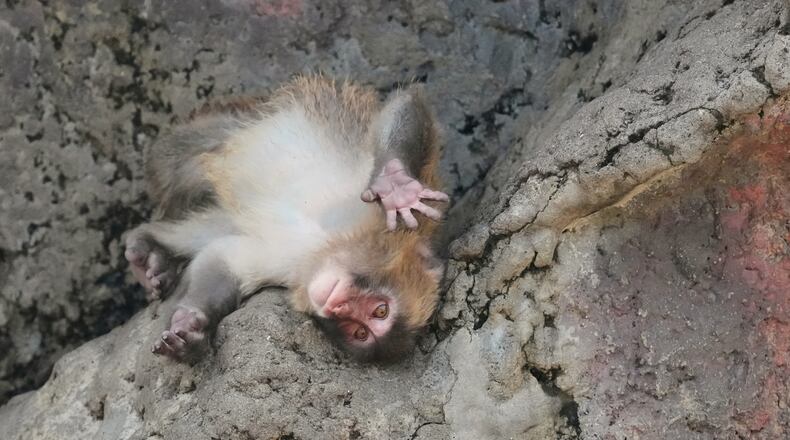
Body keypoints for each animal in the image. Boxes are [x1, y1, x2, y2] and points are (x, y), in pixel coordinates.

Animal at [123, 76, 448, 362]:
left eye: (360, 331)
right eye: (380, 310)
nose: (338, 308)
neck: (328, 244)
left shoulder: (289, 271)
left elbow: (223, 259)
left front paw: (191, 328)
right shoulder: (389, 221)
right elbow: (406, 104)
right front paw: (396, 185)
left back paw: (154, 251)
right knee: (182, 158)